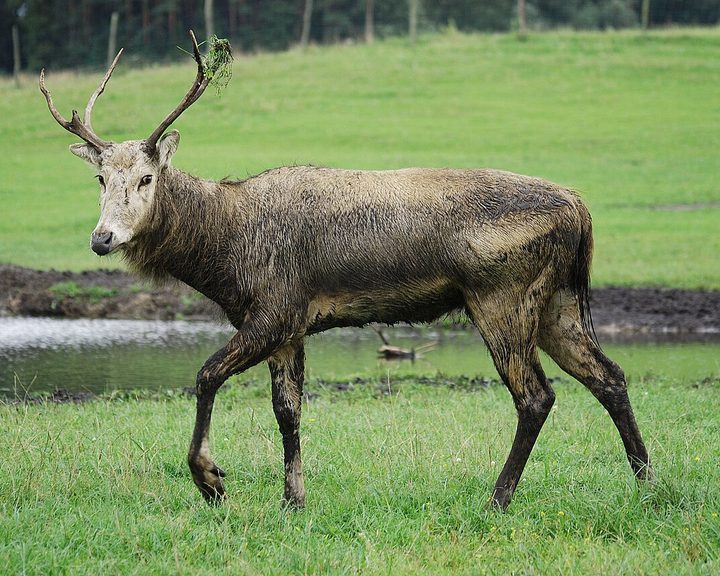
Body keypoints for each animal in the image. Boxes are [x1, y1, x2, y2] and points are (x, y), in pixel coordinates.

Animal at [40, 32, 651, 511]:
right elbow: (287, 412)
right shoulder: (290, 329)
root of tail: (581, 210)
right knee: (609, 375)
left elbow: (207, 374)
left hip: (501, 296)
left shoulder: (274, 309)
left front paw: (212, 480)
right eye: (100, 178)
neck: (225, 257)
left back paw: (498, 498)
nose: (102, 238)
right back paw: (646, 482)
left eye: (146, 178)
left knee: (536, 396)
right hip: (556, 302)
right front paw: (293, 500)